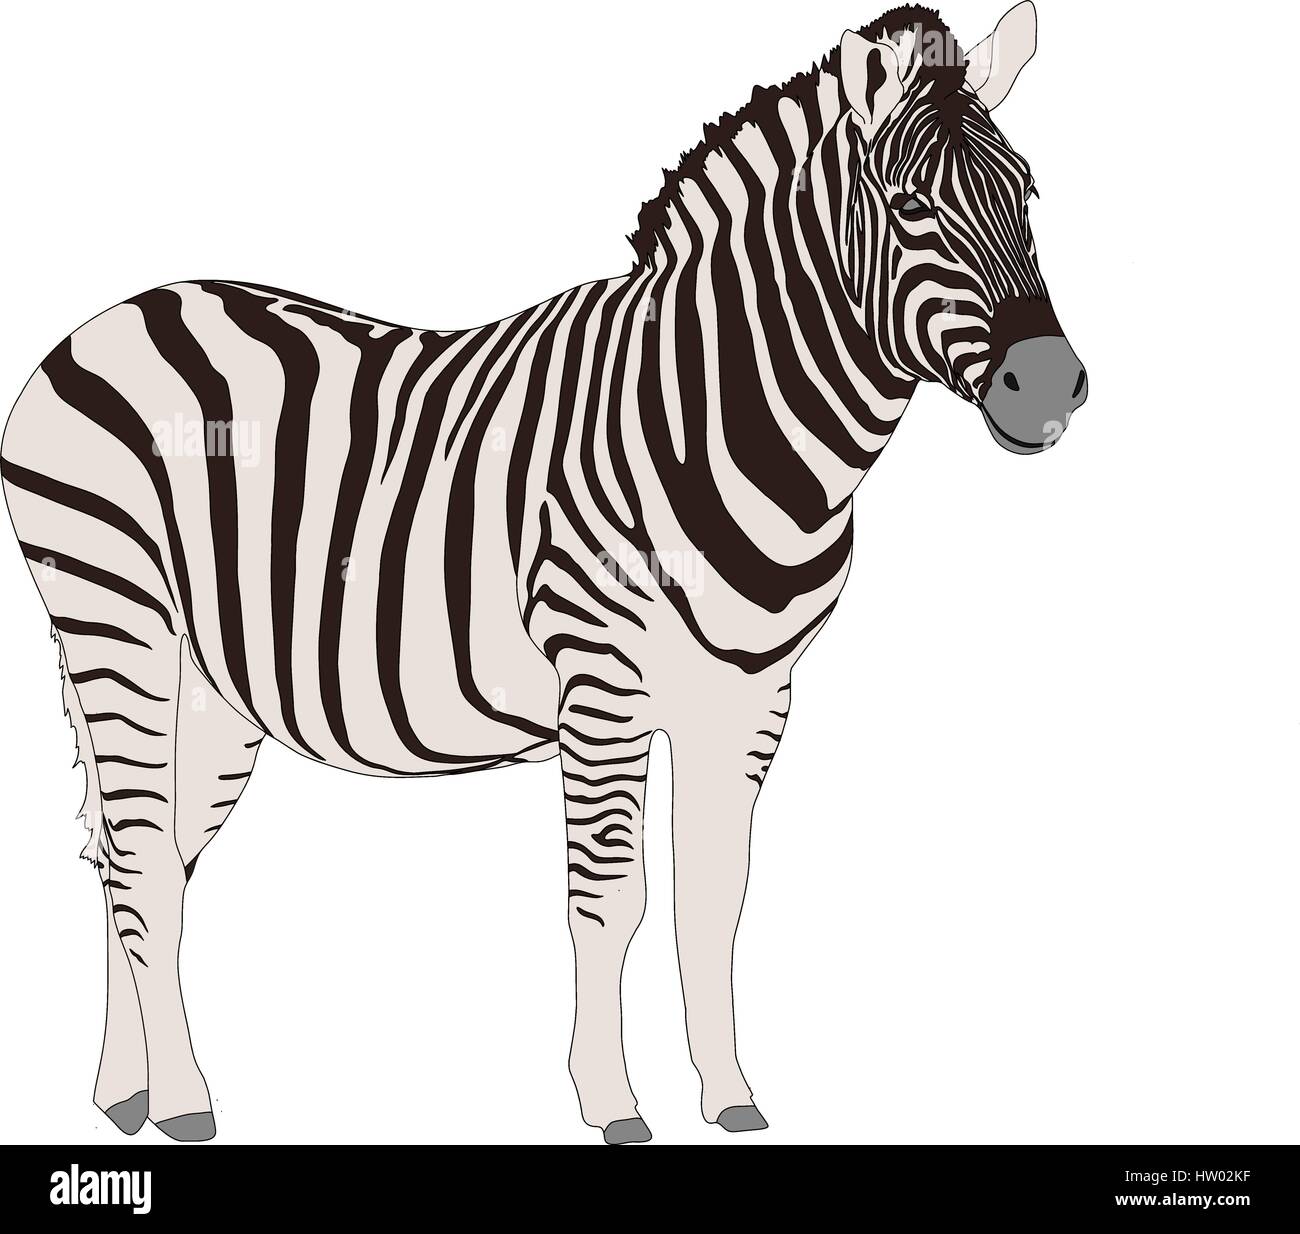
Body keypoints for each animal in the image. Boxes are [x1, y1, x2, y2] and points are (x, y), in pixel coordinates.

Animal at [2, 3, 1086, 1144]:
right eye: (911, 206)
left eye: (1028, 195)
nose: (1054, 382)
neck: (719, 420)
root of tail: (103, 318)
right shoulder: (602, 681)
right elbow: (610, 897)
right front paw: (613, 1103)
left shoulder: (752, 698)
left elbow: (715, 896)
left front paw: (731, 1096)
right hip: (114, 618)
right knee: (136, 852)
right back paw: (183, 1099)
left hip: (207, 686)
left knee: (142, 856)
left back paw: (124, 1089)